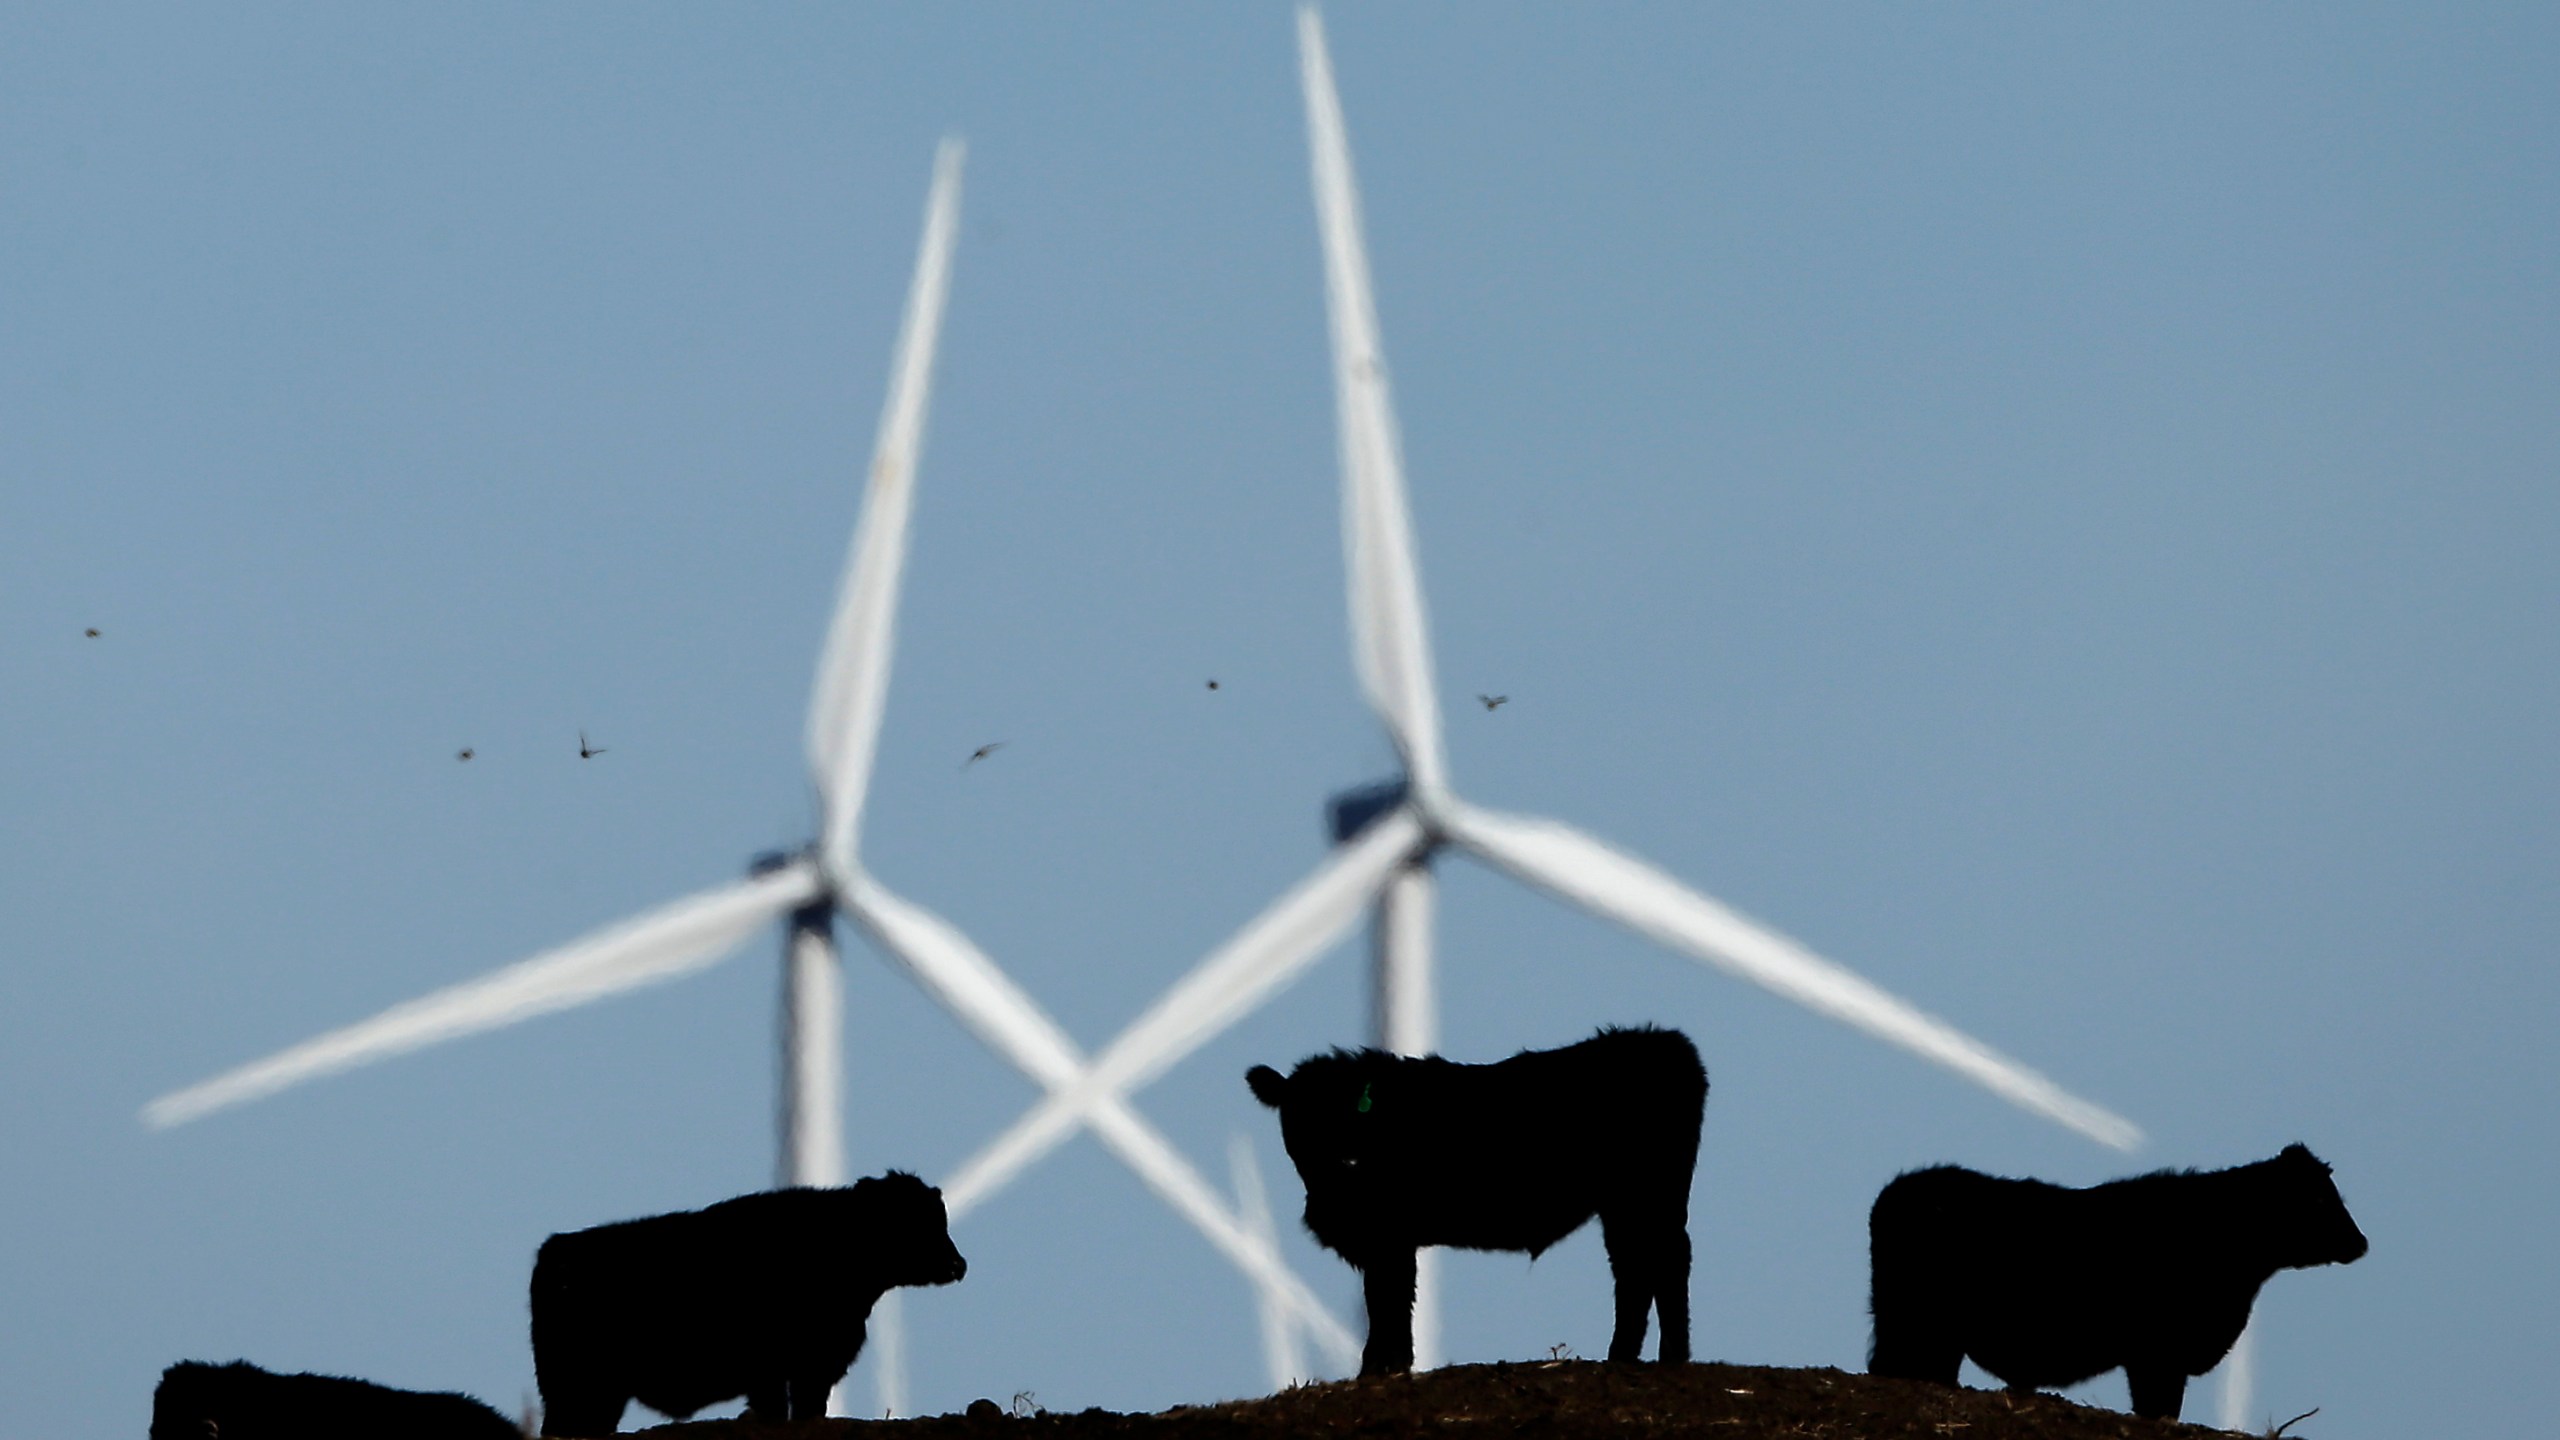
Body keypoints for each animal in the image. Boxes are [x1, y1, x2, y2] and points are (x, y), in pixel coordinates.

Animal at [1249, 1019, 1710, 1363]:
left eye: (1347, 1111)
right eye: (1296, 1118)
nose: (1341, 1162)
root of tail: (1661, 1040)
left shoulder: (1389, 1237)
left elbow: (1388, 1303)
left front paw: (1381, 1367)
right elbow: (1390, 1302)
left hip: (1649, 1193)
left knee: (1666, 1260)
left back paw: (1670, 1357)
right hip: (1626, 1204)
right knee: (1636, 1267)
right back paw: (1624, 1357)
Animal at [1863, 1137, 2375, 1414]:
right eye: (2318, 1199)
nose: (2361, 1242)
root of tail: (1901, 1189)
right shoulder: (2157, 1355)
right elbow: (2159, 1410)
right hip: (1917, 1323)